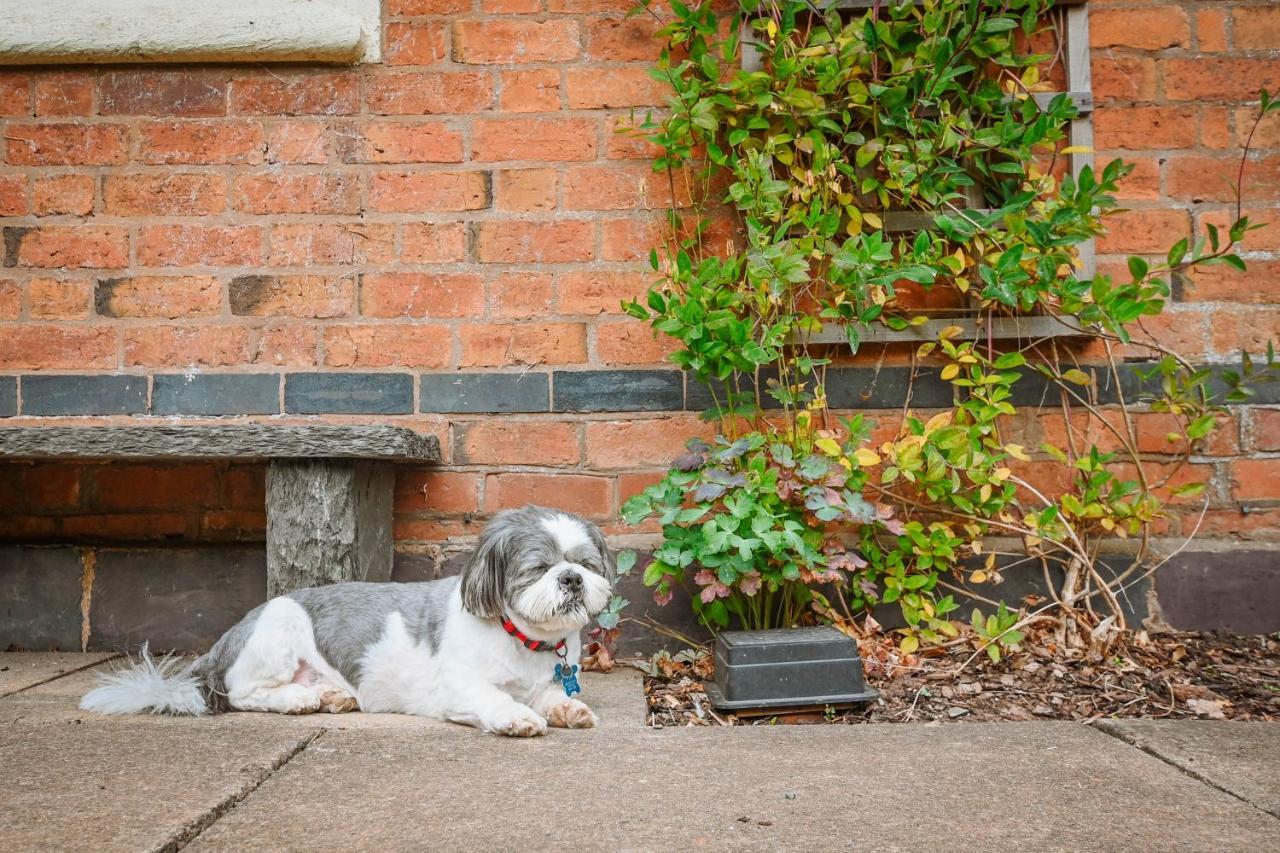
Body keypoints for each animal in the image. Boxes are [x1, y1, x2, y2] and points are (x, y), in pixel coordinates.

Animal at [81, 502, 619, 732]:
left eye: (587, 565)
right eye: (539, 568)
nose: (571, 578)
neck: (524, 640)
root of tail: (224, 643)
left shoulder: (546, 679)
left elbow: (552, 696)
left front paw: (566, 708)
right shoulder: (456, 686)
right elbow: (494, 698)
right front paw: (517, 716)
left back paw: (330, 697)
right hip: (277, 634)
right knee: (242, 693)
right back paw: (298, 700)